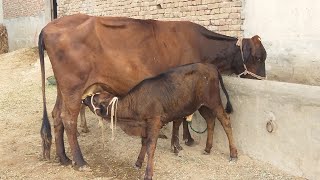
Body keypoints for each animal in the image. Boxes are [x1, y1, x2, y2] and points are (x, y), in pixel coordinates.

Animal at [85, 62, 238, 179]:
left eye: (95, 99)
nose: (84, 98)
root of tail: (210, 66)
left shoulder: (154, 122)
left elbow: (150, 146)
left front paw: (148, 173)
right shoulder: (145, 125)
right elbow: (144, 143)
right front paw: (138, 162)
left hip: (214, 101)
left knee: (225, 121)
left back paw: (233, 154)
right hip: (202, 105)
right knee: (210, 121)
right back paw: (207, 148)